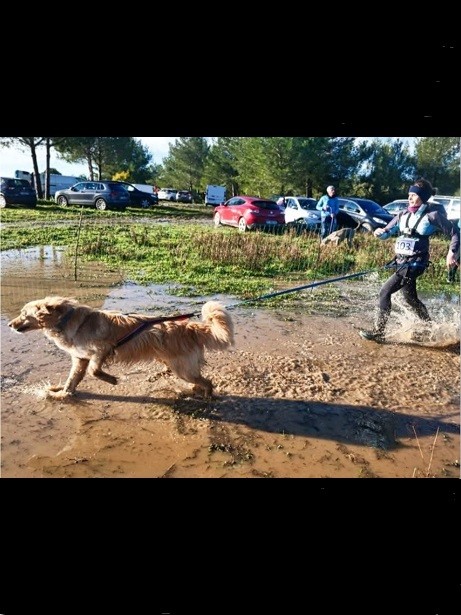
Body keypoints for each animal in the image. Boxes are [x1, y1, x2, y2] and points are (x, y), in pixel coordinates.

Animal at [8, 298, 234, 400]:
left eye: (23, 314)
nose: (9, 324)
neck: (65, 321)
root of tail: (193, 327)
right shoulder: (80, 358)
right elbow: (73, 379)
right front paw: (62, 393)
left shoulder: (102, 348)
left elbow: (94, 370)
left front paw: (112, 380)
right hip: (176, 364)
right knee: (199, 380)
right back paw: (191, 390)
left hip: (181, 367)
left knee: (207, 382)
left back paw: (207, 397)